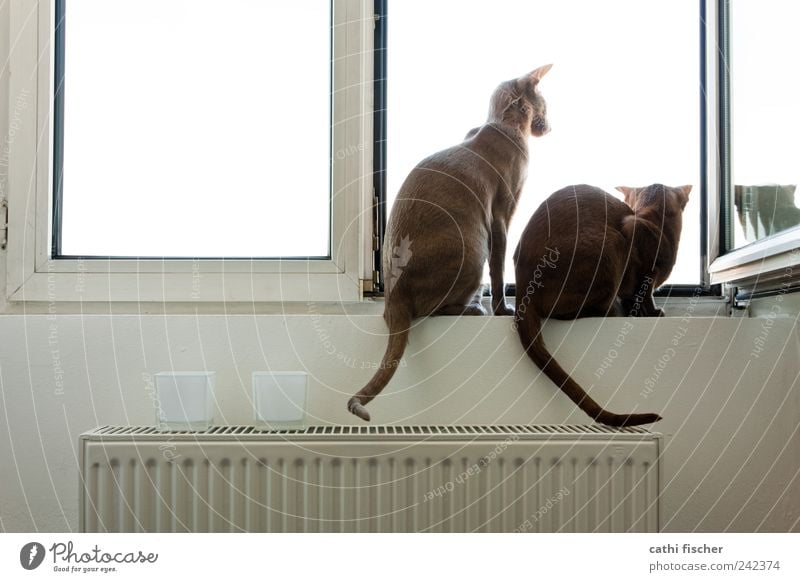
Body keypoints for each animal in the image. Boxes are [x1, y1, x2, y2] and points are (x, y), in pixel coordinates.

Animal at [346, 64, 552, 422]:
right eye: (547, 107)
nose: (550, 124)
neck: (502, 125)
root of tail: (393, 298)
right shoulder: (501, 217)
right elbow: (500, 271)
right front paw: (503, 310)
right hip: (474, 247)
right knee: (437, 309)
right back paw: (476, 308)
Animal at [516, 184, 692, 428]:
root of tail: (523, 284)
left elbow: (634, 300)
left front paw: (639, 313)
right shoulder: (638, 240)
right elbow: (645, 292)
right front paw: (653, 313)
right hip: (611, 246)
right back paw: (613, 313)